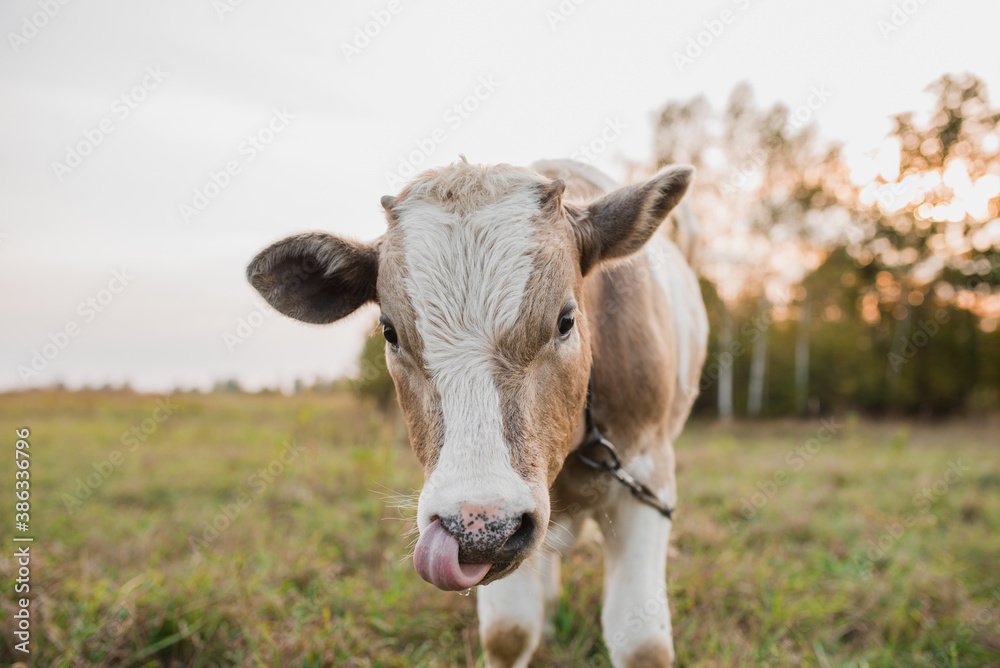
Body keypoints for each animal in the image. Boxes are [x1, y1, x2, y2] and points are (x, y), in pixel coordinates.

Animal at [246, 158, 708, 668]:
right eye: (389, 332)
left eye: (566, 320)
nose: (478, 529)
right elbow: (508, 632)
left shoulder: (648, 477)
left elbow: (642, 644)